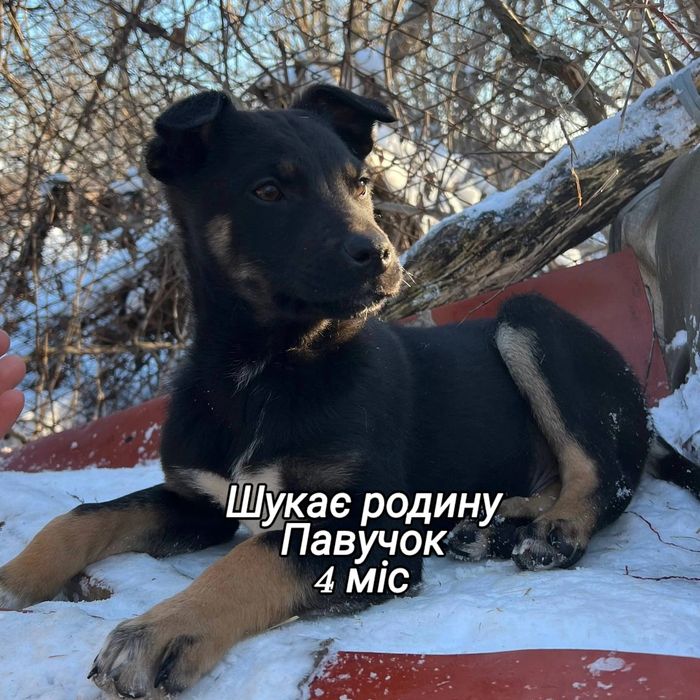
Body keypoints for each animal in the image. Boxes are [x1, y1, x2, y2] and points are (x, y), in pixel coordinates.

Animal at [0, 85, 693, 697]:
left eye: (359, 185)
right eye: (268, 191)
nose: (382, 255)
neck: (265, 369)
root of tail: (641, 409)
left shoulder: (363, 532)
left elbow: (249, 563)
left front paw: (160, 630)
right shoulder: (198, 500)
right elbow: (79, 518)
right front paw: (11, 580)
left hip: (529, 319)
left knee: (603, 479)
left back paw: (553, 531)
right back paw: (492, 526)